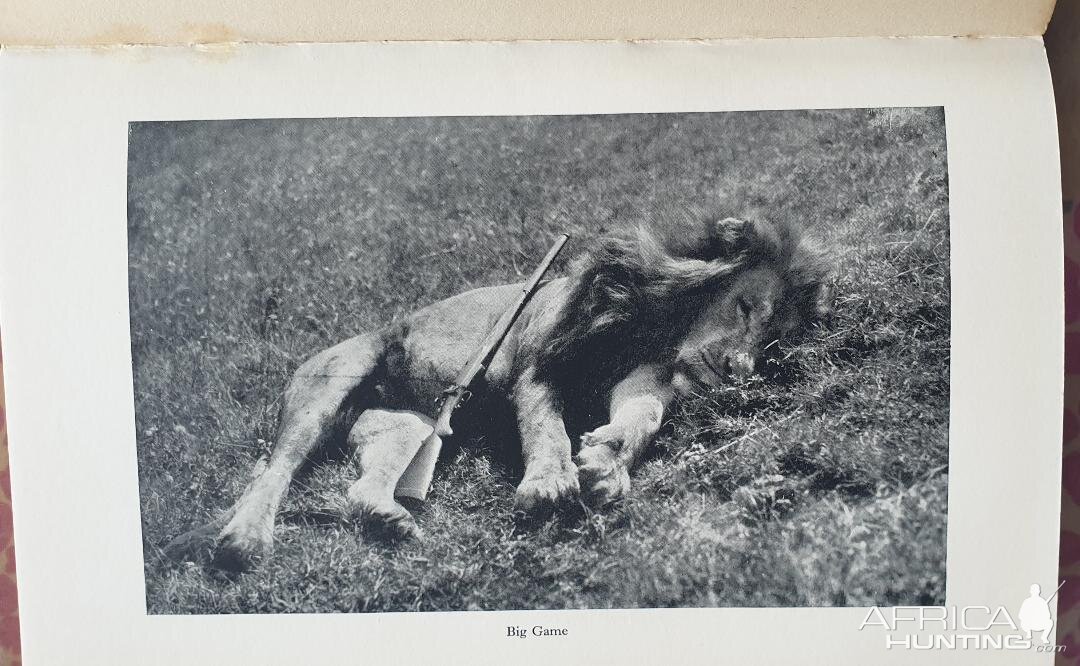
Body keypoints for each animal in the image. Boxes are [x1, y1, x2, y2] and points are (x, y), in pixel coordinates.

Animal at [166, 214, 825, 569]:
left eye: (772, 340)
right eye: (746, 307)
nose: (738, 369)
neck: (657, 326)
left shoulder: (647, 376)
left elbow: (639, 419)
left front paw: (606, 464)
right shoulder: (536, 361)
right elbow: (545, 426)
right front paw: (550, 482)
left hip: (401, 427)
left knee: (360, 488)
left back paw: (388, 519)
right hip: (328, 386)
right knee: (275, 470)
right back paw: (245, 540)